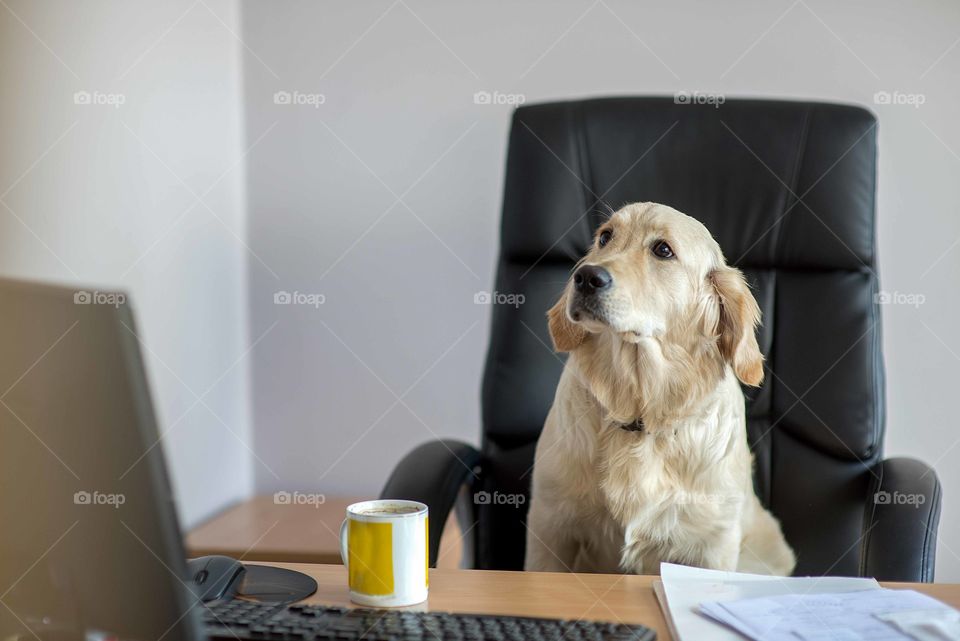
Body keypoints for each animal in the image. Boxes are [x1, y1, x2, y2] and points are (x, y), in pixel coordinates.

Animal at [524, 201, 796, 576]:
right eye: (605, 237)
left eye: (663, 250)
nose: (586, 278)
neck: (641, 414)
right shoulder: (550, 525)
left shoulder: (713, 545)